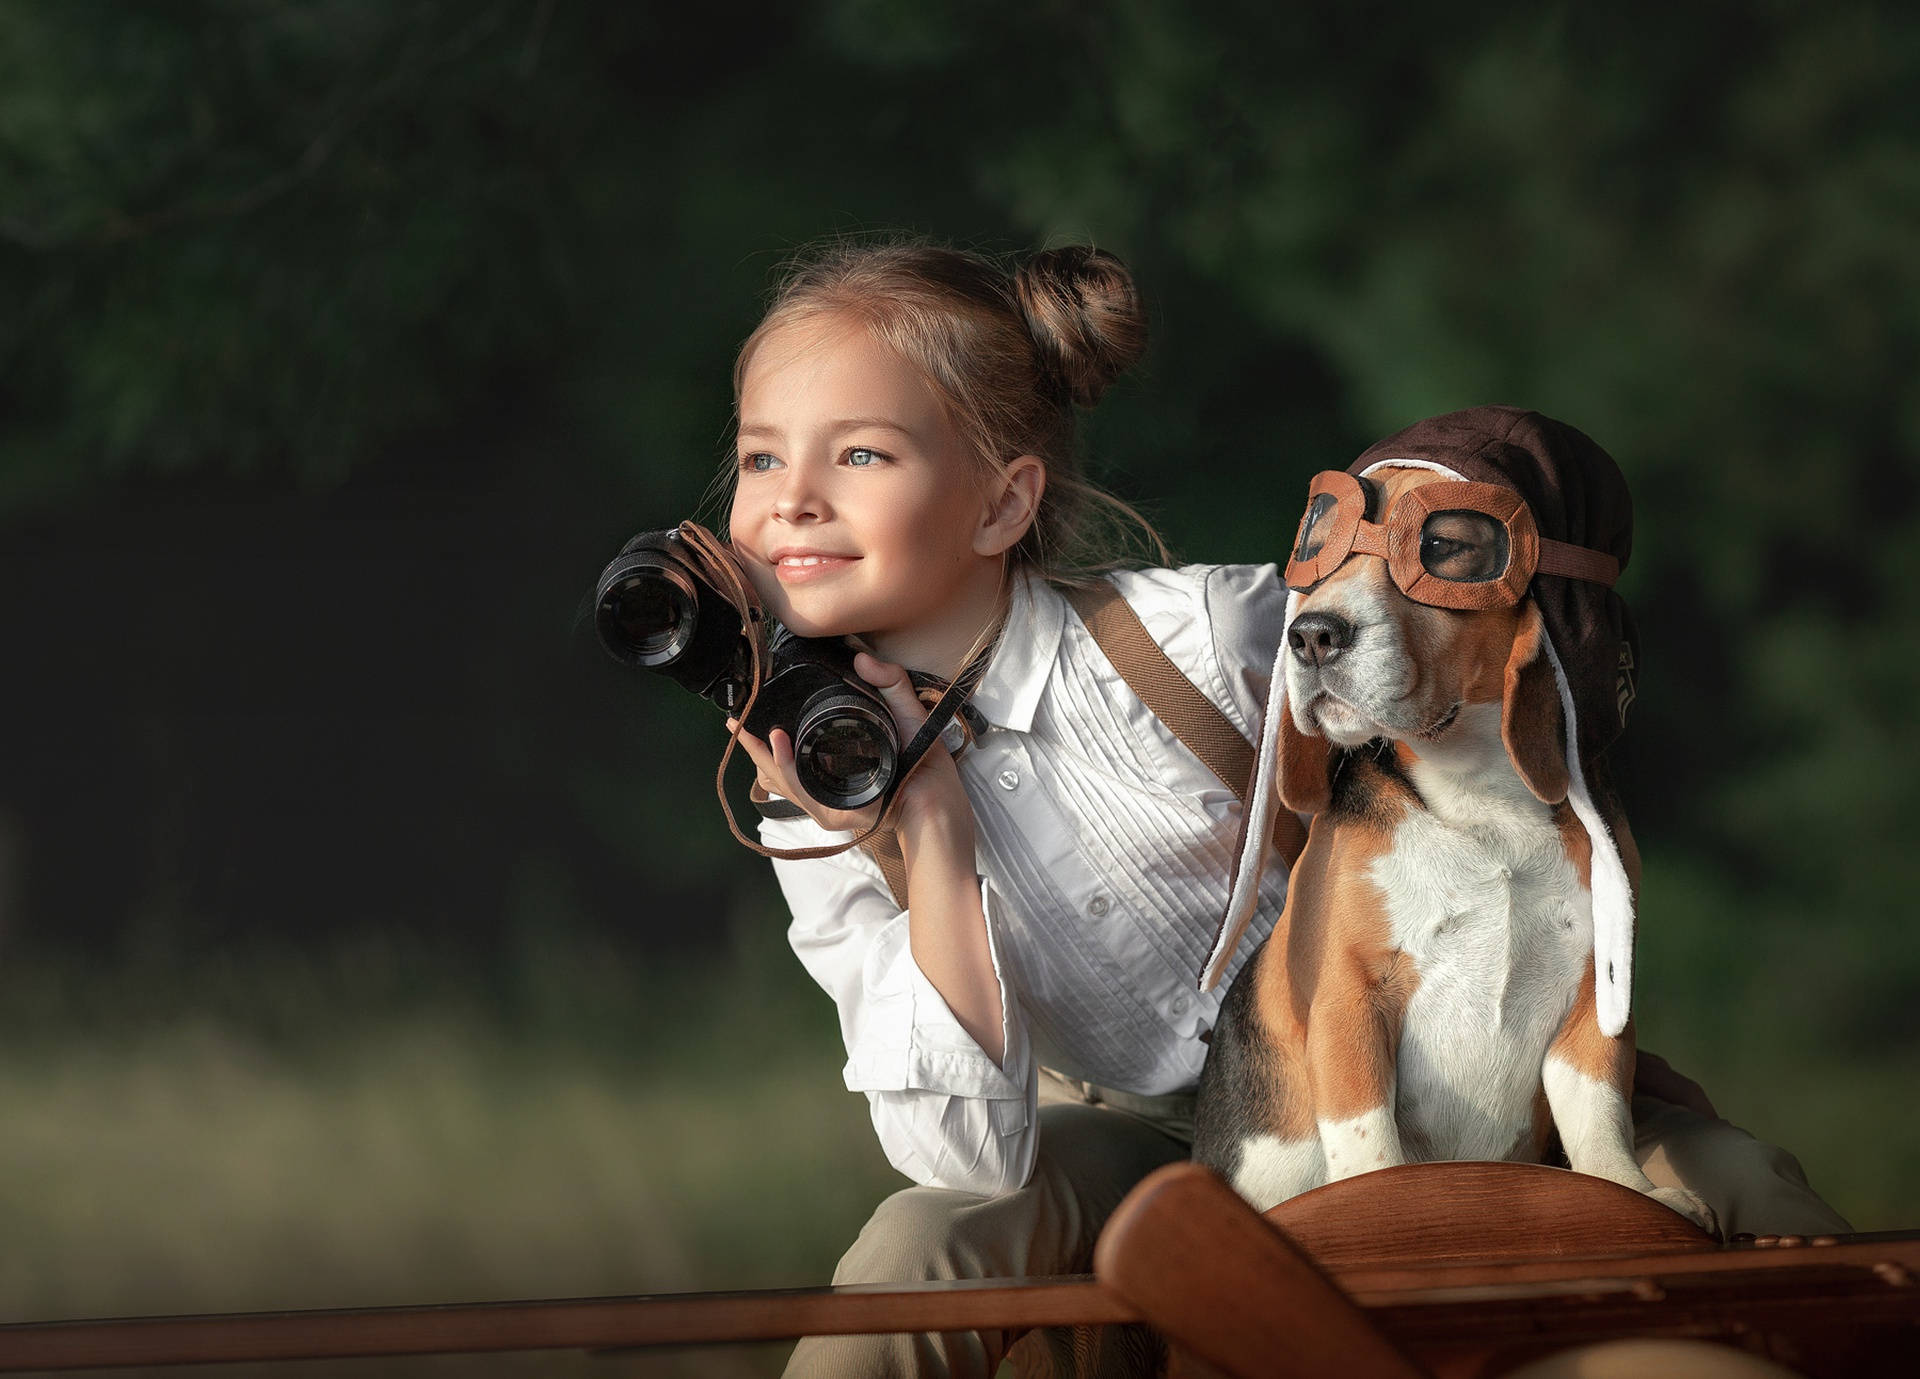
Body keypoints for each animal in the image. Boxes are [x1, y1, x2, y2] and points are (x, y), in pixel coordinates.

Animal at [1190, 459, 1720, 1236]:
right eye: (1317, 547)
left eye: (1442, 545)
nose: (1312, 634)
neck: (1480, 799)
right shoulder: (1348, 999)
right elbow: (1368, 1140)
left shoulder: (1593, 998)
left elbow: (1599, 1117)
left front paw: (1635, 1194)